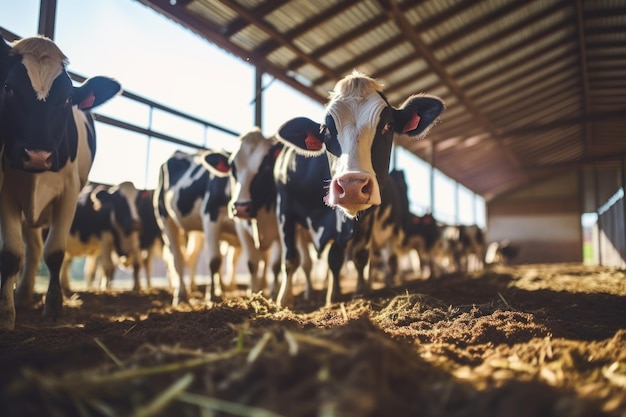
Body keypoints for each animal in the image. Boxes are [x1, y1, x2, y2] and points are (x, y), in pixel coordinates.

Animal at [0, 35, 120, 328]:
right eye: (8, 87)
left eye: (67, 99)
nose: (38, 155)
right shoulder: (6, 189)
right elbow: (12, 254)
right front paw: (6, 313)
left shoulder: (68, 193)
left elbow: (54, 252)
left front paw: (54, 307)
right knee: (31, 249)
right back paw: (22, 294)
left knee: (37, 248)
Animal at [153, 148, 236, 304]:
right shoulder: (211, 217)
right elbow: (215, 260)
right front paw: (213, 296)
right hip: (165, 219)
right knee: (177, 258)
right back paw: (181, 293)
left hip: (196, 232)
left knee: (191, 257)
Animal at [276, 72, 442, 300]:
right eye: (326, 130)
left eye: (389, 126)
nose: (352, 186)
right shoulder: (285, 207)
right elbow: (291, 258)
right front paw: (284, 299)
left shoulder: (367, 216)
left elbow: (354, 256)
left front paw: (351, 294)